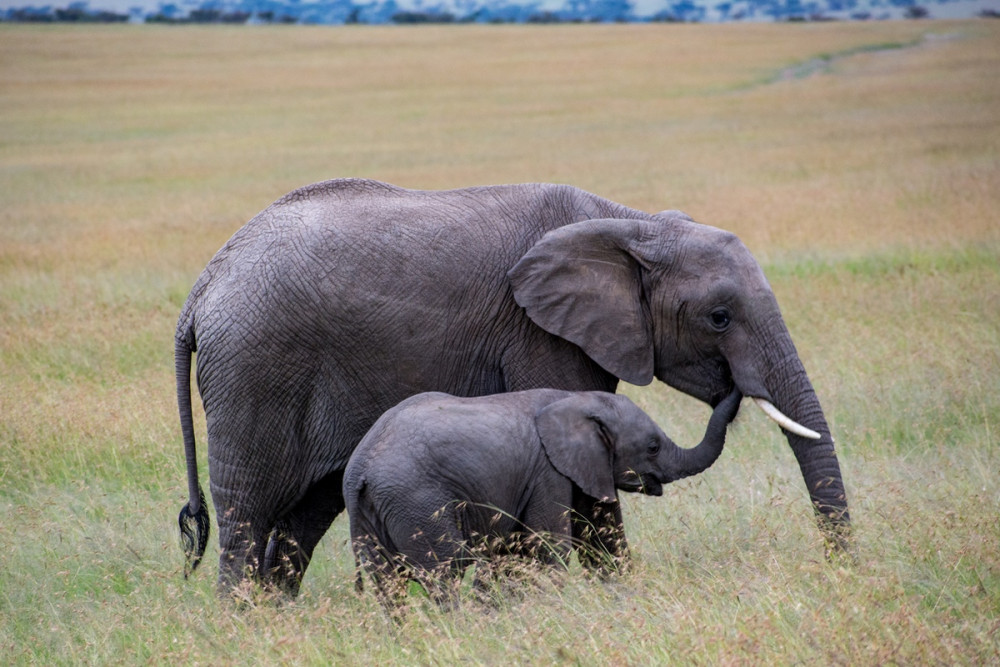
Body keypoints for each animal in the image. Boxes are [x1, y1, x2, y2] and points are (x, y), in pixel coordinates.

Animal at [344, 384, 744, 608]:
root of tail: (360, 469)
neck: (576, 400)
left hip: (370, 515)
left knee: (388, 586)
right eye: (653, 447)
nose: (735, 387)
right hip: (418, 502)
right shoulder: (548, 473)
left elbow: (600, 544)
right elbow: (549, 549)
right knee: (445, 573)